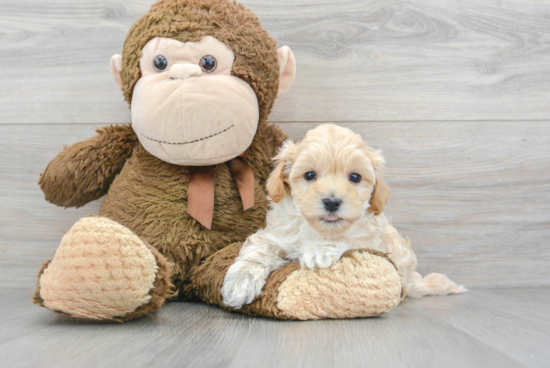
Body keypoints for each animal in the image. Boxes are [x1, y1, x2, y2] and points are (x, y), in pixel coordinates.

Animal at [220, 125, 466, 310]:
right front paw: (239, 283)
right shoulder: (278, 234)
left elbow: (347, 237)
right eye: (310, 175)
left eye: (355, 177)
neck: (316, 229)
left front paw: (319, 251)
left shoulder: (370, 239)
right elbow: (260, 248)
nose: (331, 202)